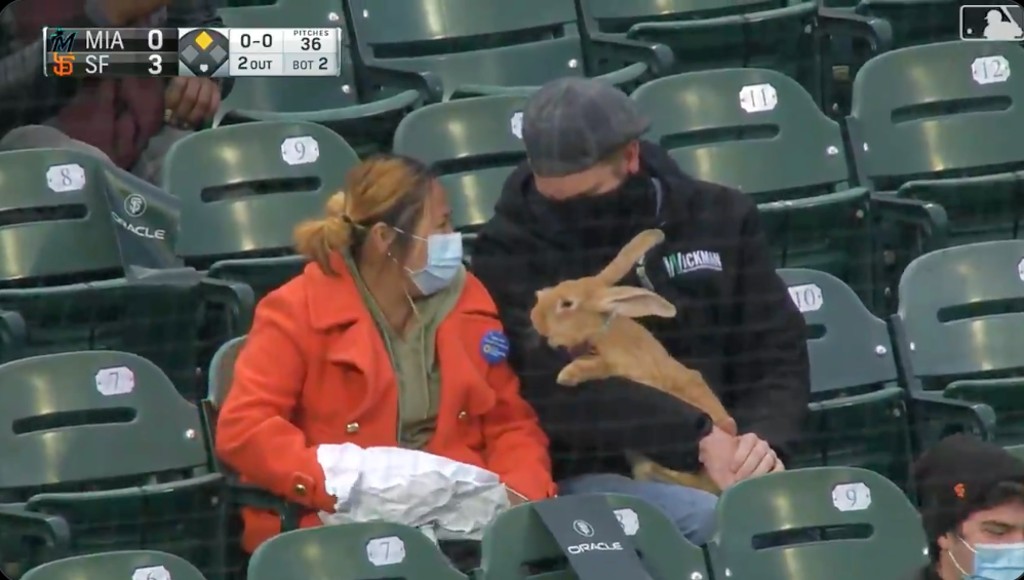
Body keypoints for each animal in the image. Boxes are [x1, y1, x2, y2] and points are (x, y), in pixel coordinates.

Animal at [528, 230, 737, 495]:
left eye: (566, 303)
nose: (535, 316)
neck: (600, 333)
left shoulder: (625, 366)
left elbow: (599, 366)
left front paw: (567, 375)